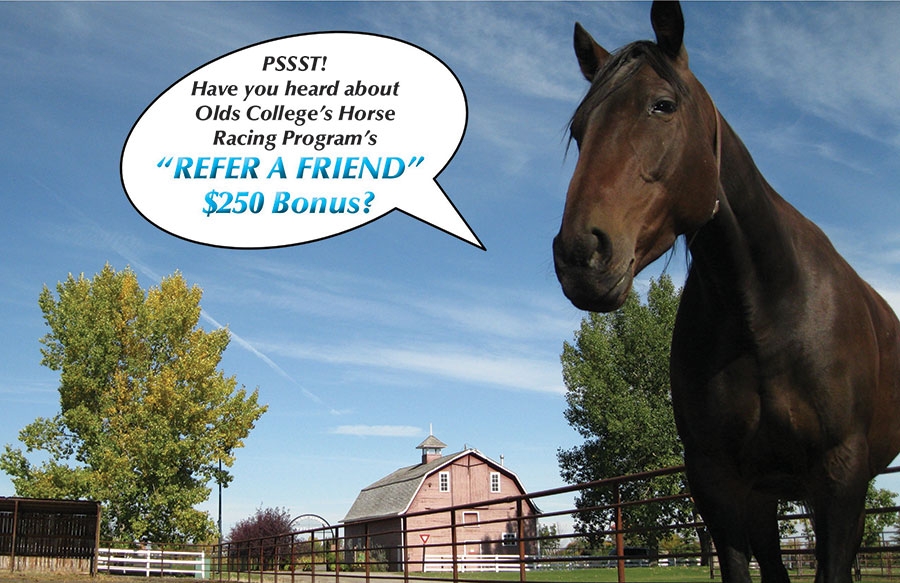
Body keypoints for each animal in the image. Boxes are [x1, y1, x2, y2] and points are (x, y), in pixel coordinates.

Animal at [552, 3, 900, 582]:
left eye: (662, 106)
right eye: (579, 131)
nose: (580, 255)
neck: (764, 313)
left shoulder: (840, 476)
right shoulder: (719, 483)